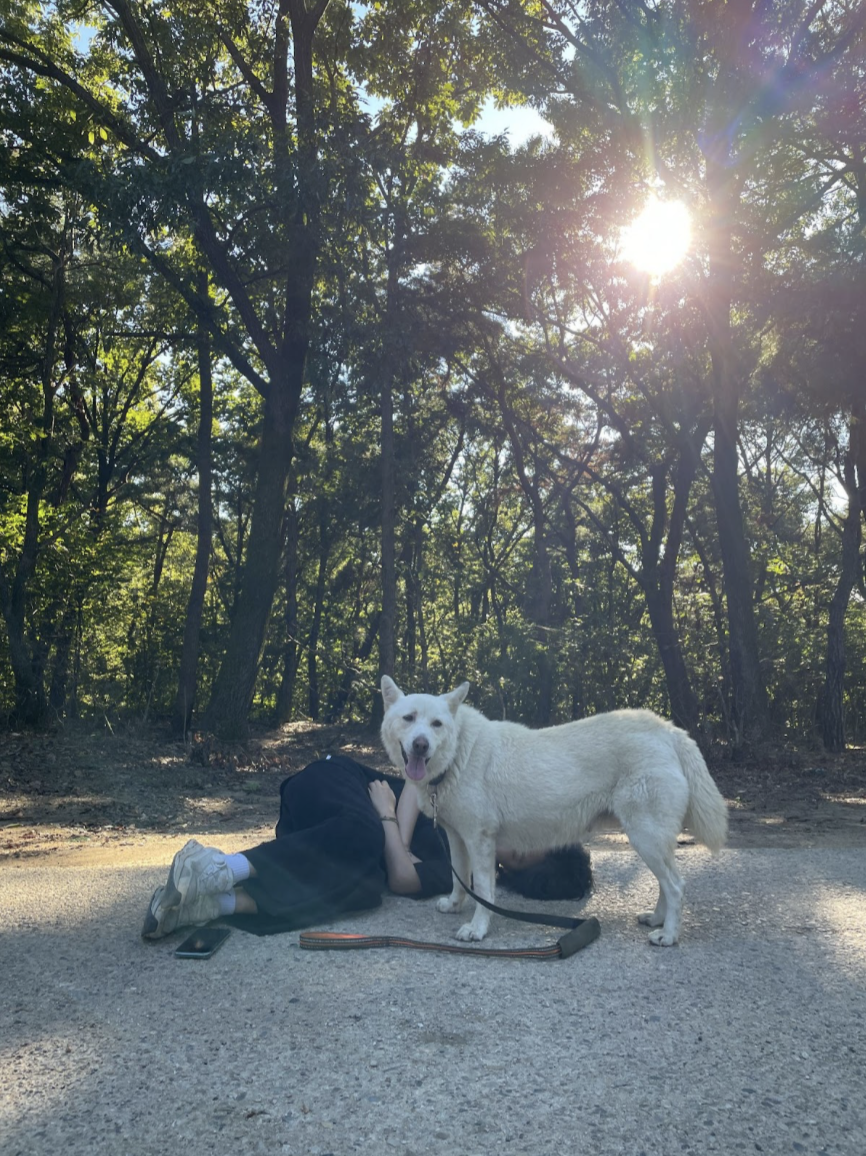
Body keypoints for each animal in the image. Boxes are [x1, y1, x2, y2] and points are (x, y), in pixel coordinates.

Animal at [380, 676, 728, 946]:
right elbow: (458, 877)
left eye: (436, 724)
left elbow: (483, 890)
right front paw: (454, 904)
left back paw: (668, 935)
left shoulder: (481, 840)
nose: (421, 744)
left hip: (646, 836)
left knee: (675, 885)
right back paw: (656, 919)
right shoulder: (457, 837)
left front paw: (478, 929)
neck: (457, 756)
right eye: (409, 718)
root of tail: (669, 732)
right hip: (650, 841)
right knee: (666, 884)